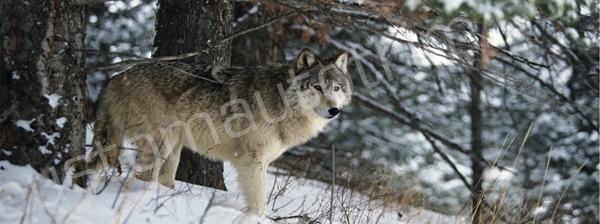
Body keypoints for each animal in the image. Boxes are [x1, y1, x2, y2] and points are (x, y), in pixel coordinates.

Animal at [86, 47, 354, 217]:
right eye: (317, 87)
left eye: (336, 88)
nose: (333, 110)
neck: (281, 101)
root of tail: (115, 77)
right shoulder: (251, 160)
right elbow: (260, 202)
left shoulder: (261, 161)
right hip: (160, 142)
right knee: (143, 177)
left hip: (174, 147)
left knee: (162, 179)